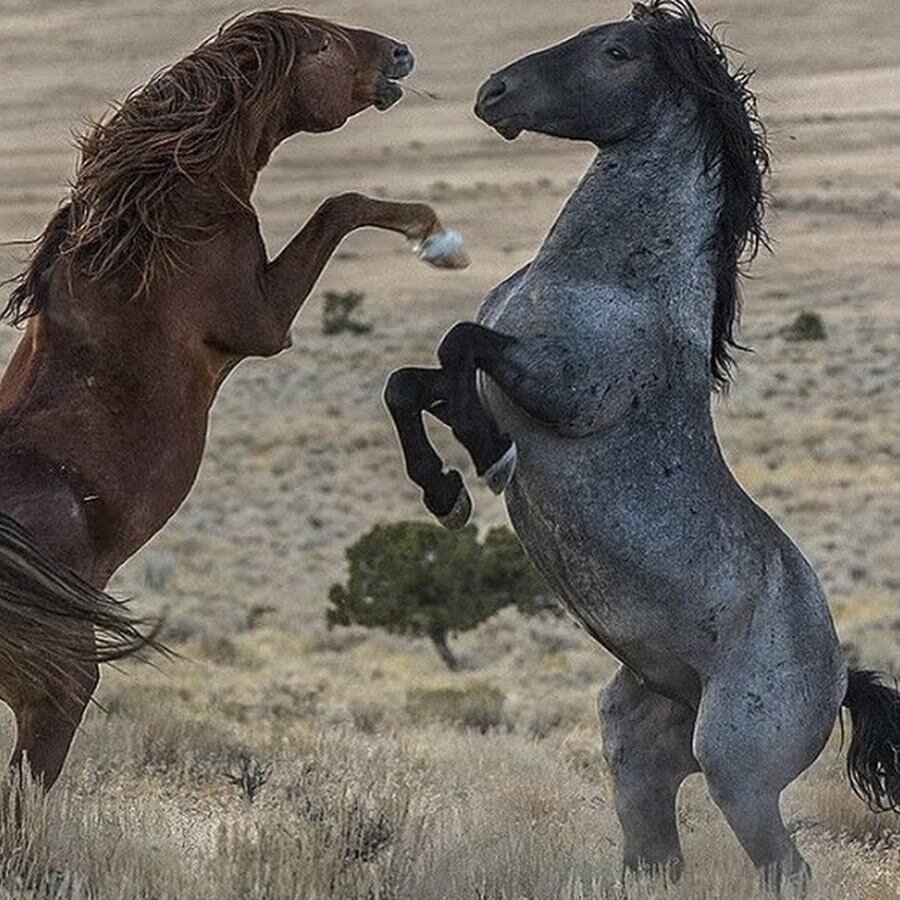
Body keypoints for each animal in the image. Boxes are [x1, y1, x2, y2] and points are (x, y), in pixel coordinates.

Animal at [0, 9, 468, 793]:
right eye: (325, 43)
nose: (400, 52)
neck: (164, 210)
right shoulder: (264, 323)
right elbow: (340, 204)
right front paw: (439, 241)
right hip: (58, 680)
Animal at [384, 0, 900, 891]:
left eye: (618, 51)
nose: (493, 94)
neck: (616, 278)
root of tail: (841, 677)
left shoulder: (564, 390)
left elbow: (458, 344)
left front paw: (484, 458)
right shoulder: (475, 380)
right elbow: (410, 383)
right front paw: (444, 490)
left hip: (737, 773)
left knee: (786, 869)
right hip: (638, 753)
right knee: (657, 856)